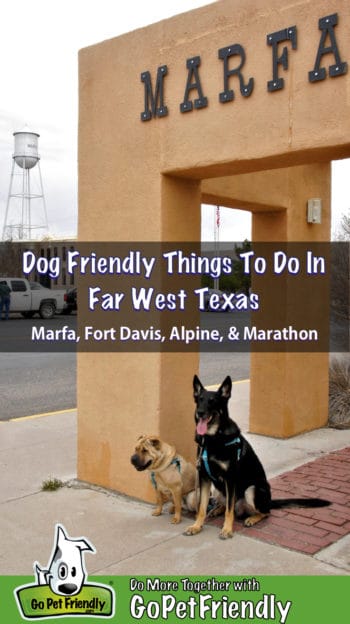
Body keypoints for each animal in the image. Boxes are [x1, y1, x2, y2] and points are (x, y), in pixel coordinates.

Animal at [186, 376, 330, 540]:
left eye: (212, 401)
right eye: (199, 400)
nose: (200, 412)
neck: (213, 438)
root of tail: (269, 501)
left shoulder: (230, 478)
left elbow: (229, 511)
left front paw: (227, 529)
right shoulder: (204, 477)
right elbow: (201, 507)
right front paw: (197, 526)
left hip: (252, 490)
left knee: (263, 512)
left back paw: (252, 518)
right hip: (217, 490)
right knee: (226, 504)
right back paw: (217, 509)